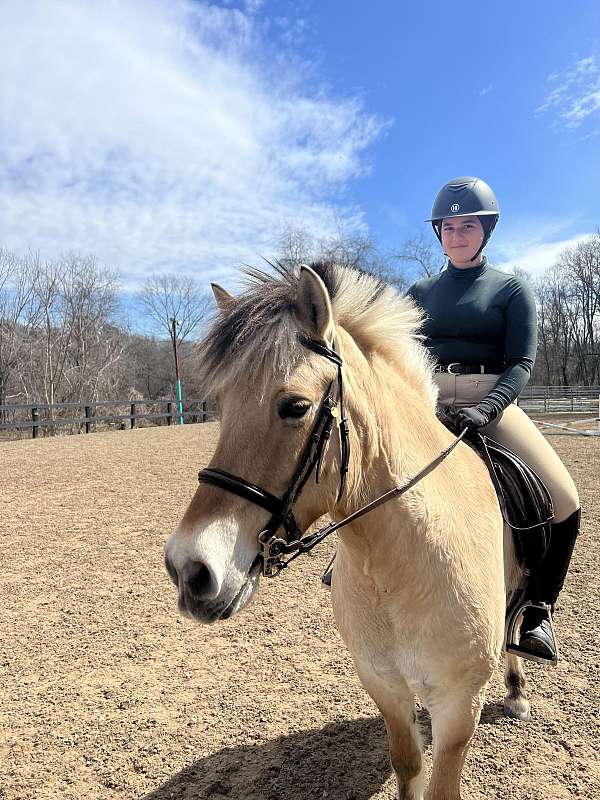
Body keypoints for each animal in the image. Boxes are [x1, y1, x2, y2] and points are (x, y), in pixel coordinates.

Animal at [164, 261, 530, 800]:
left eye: (295, 406)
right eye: (222, 406)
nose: (188, 568)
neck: (397, 565)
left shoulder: (459, 705)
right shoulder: (384, 686)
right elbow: (407, 765)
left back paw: (517, 691)